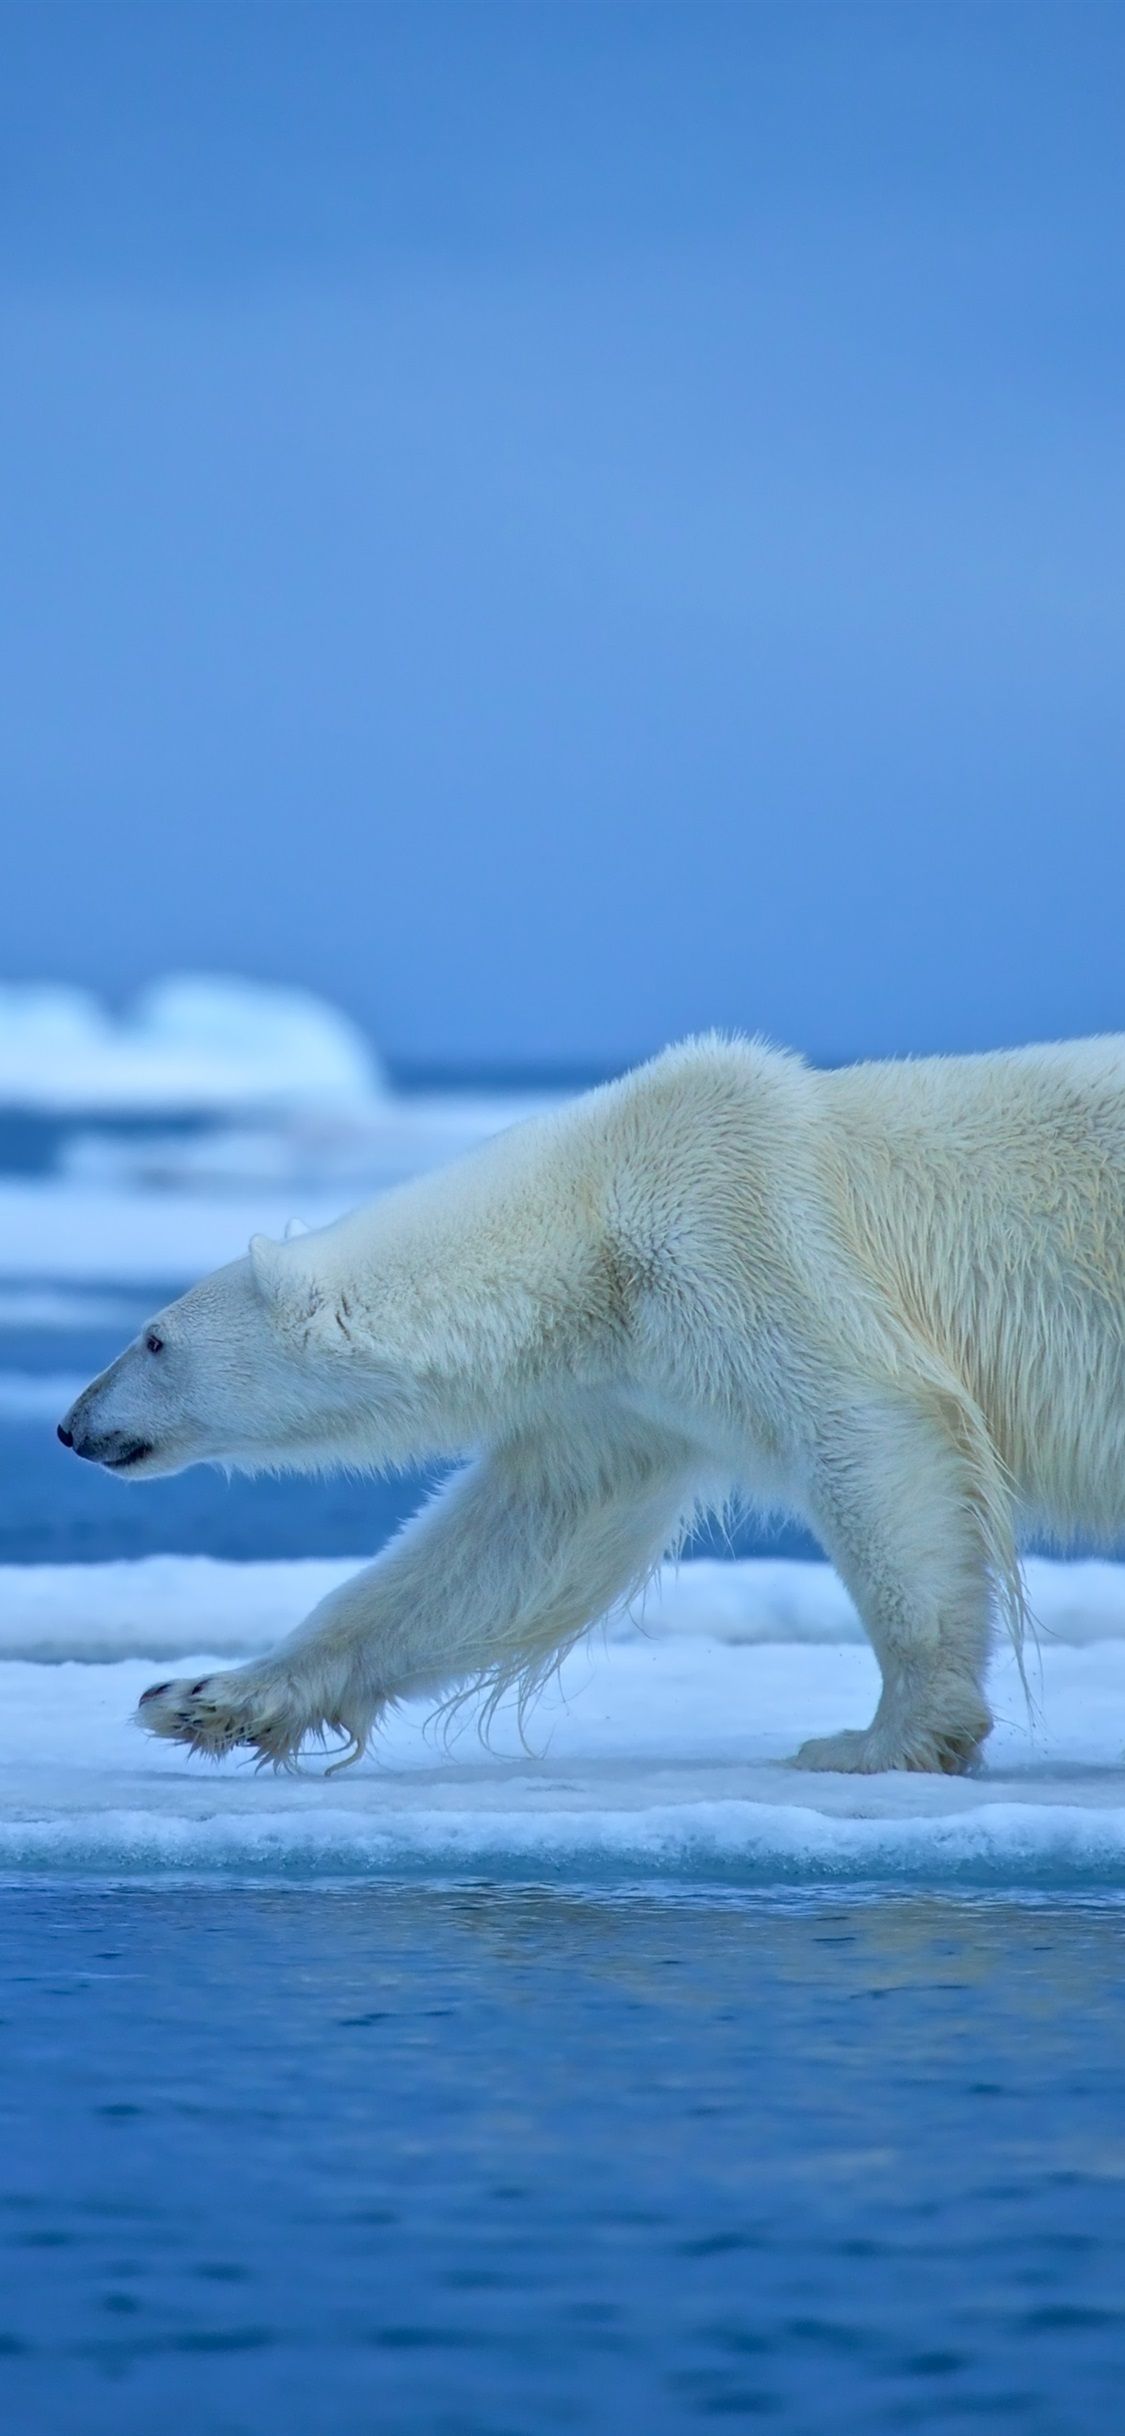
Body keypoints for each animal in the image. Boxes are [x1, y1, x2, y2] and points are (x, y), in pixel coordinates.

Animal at [57, 1027, 1125, 1773]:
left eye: (152, 1339)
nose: (71, 1426)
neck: (597, 1215)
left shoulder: (749, 1246)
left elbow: (872, 1436)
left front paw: (881, 1739)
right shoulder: (628, 1382)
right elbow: (519, 1540)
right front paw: (202, 1696)